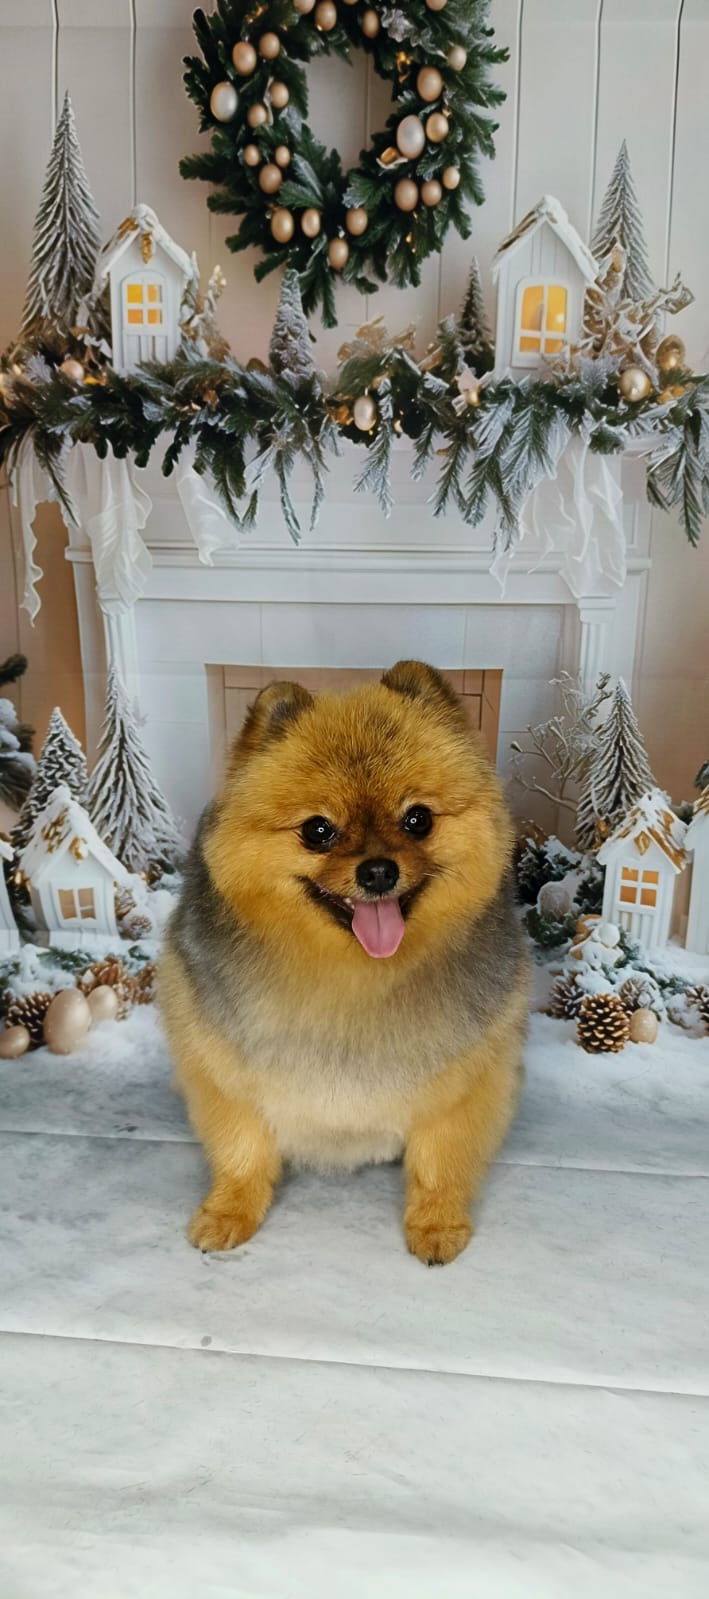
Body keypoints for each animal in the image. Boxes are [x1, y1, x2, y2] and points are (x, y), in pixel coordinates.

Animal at [160, 661, 528, 1265]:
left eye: (418, 819)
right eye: (317, 830)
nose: (378, 870)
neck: (354, 980)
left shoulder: (463, 1080)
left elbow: (438, 1161)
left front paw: (436, 1225)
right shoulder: (226, 1070)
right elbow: (242, 1153)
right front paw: (228, 1213)